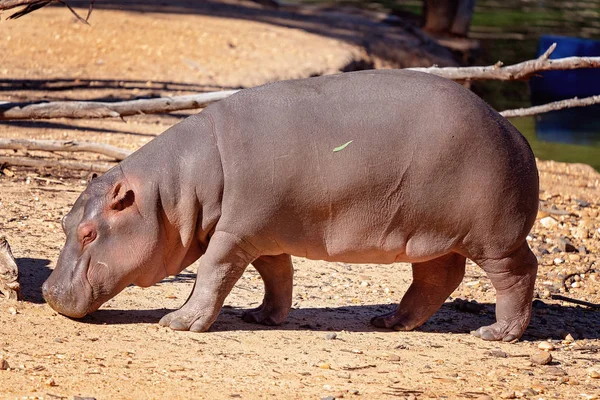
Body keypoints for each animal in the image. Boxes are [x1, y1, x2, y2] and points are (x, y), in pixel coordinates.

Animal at [42, 69, 540, 340]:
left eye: (89, 232)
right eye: (65, 222)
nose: (46, 292)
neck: (173, 191)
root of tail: (513, 131)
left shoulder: (232, 234)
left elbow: (212, 273)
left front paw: (177, 322)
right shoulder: (261, 233)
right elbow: (277, 274)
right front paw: (262, 317)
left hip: (493, 238)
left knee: (517, 273)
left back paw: (496, 334)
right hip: (429, 236)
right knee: (437, 278)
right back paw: (388, 322)